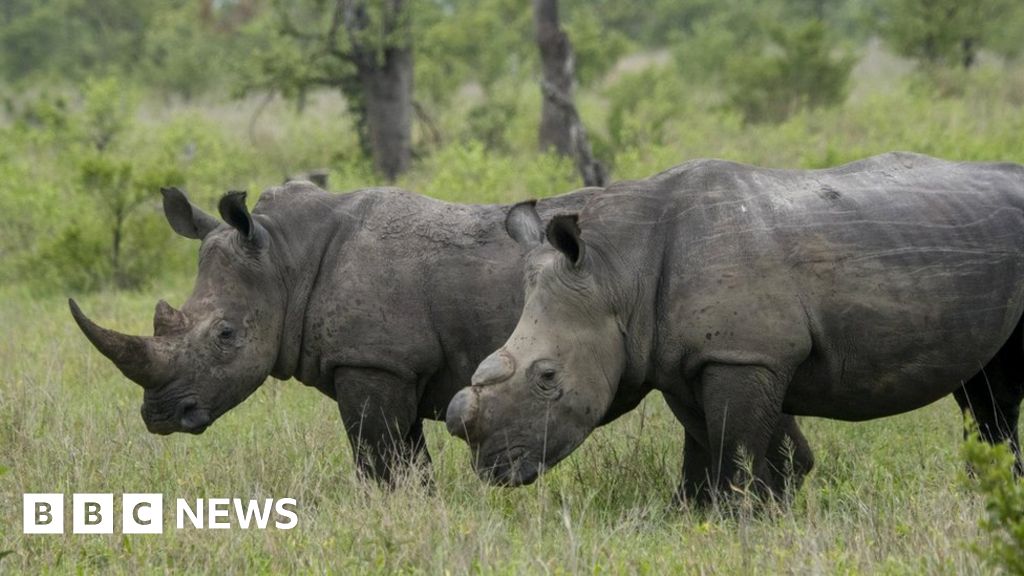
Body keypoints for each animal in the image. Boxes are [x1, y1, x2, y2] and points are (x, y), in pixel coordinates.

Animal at [70, 182, 599, 483]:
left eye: (225, 335)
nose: (161, 417)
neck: (285, 257)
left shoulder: (373, 361)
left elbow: (379, 458)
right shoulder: (394, 366)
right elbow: (408, 460)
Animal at [446, 152, 1024, 499]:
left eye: (547, 378)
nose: (491, 468)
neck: (617, 272)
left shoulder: (744, 355)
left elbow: (735, 442)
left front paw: (739, 515)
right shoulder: (687, 359)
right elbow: (708, 441)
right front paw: (699, 513)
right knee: (985, 389)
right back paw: (991, 492)